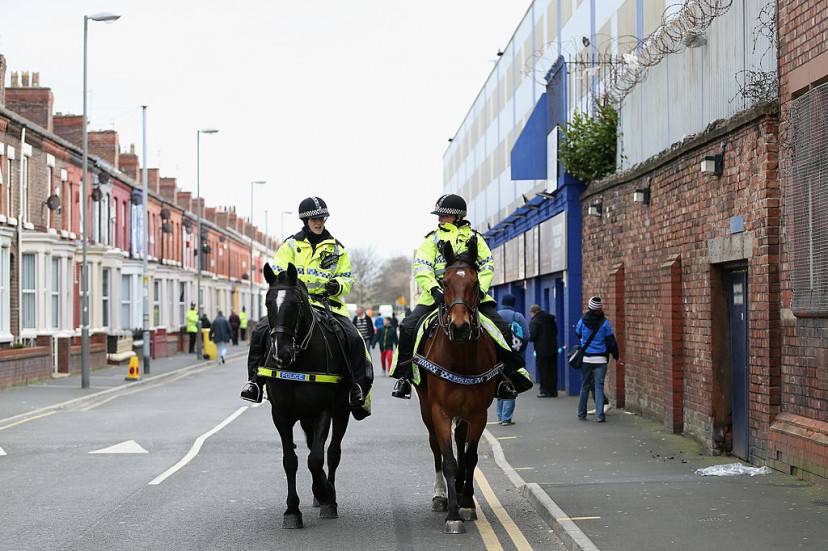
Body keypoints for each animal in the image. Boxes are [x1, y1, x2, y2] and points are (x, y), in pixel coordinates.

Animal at [264, 264, 350, 532]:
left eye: (295, 304)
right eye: (267, 303)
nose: (281, 353)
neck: (298, 362)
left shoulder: (323, 411)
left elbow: (316, 459)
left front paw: (325, 493)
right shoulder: (281, 415)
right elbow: (290, 461)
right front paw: (292, 510)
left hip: (341, 411)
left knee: (332, 453)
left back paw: (328, 497)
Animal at [414, 238, 498, 536]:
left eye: (474, 283)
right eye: (445, 282)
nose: (460, 327)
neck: (460, 357)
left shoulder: (478, 413)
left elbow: (469, 457)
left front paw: (467, 503)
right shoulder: (439, 412)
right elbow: (449, 460)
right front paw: (452, 515)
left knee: (461, 444)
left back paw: (462, 493)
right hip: (427, 411)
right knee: (436, 449)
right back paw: (441, 496)